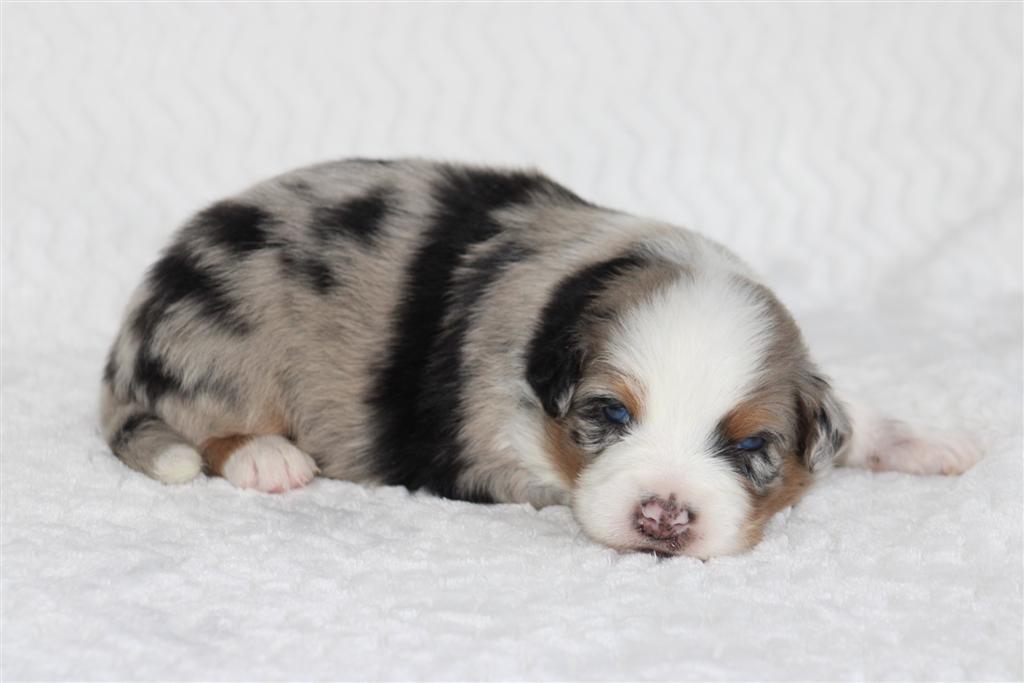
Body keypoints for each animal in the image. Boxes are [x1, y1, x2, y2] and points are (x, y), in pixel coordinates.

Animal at [100, 159, 981, 558]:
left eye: (750, 446)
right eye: (609, 414)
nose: (663, 515)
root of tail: (131, 336)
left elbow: (852, 418)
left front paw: (925, 441)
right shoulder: (494, 449)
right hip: (224, 340)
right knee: (206, 423)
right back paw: (267, 457)